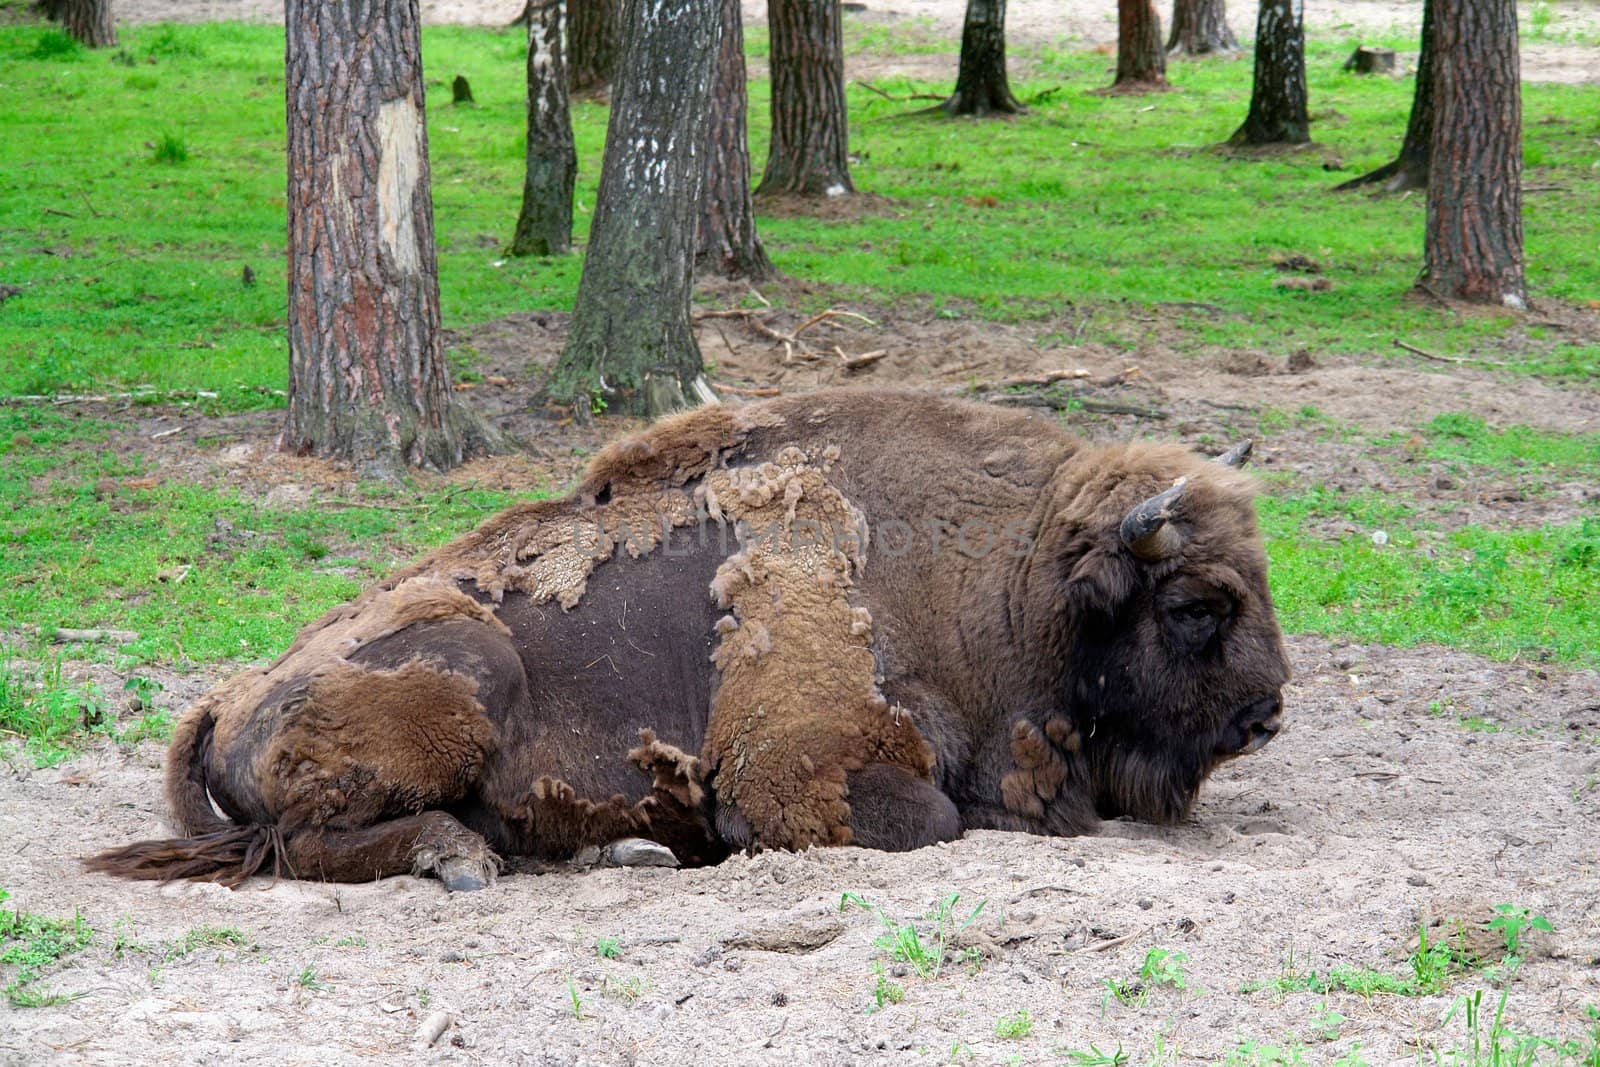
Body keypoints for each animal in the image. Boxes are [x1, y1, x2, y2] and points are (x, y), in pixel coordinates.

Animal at [90, 391, 1286, 895]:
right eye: (1195, 604)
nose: (1267, 712)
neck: (1010, 574)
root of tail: (230, 694)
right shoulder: (801, 776)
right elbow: (933, 820)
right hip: (465, 679)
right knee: (309, 841)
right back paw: (465, 859)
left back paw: (622, 848)